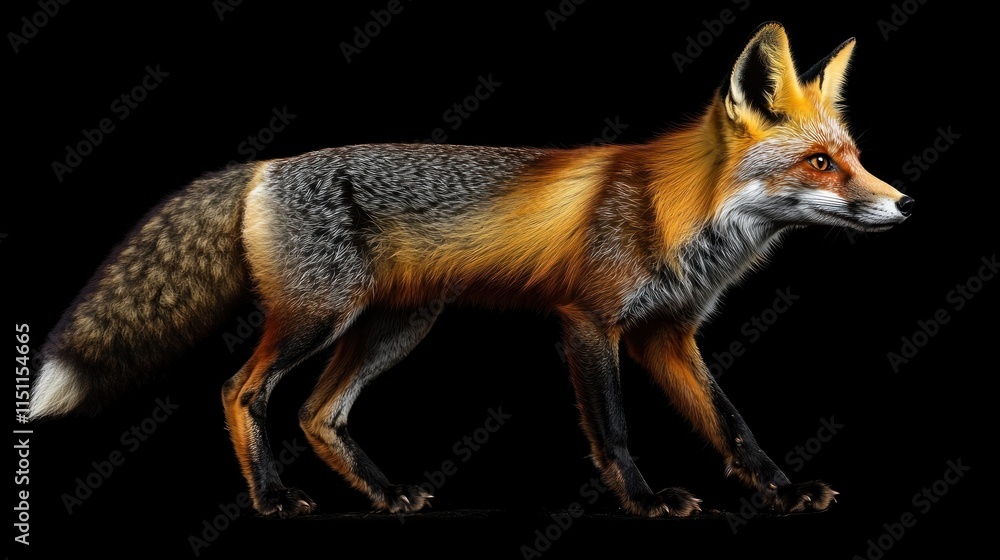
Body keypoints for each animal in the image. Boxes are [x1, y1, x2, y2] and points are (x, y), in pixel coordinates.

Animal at [31, 23, 912, 518]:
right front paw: (646, 500)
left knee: (318, 414)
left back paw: (387, 498)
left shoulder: (666, 335)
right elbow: (614, 431)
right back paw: (274, 499)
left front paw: (782, 491)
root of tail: (264, 166)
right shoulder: (589, 322)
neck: (675, 214)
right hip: (319, 319)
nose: (905, 205)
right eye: (821, 162)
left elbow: (733, 424)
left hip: (396, 328)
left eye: (855, 158)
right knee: (239, 390)